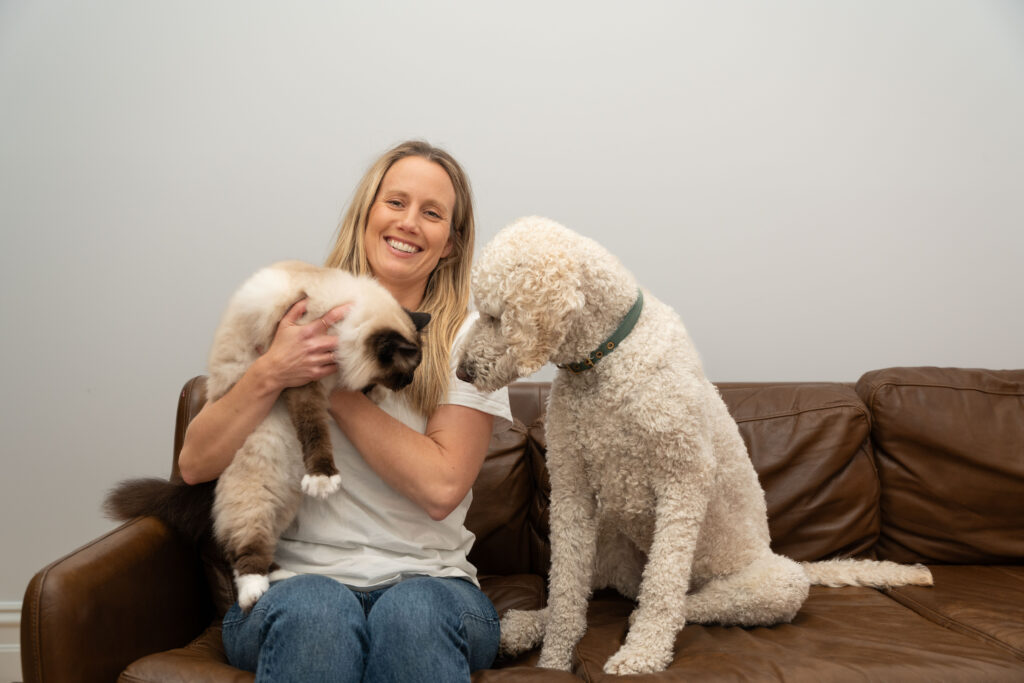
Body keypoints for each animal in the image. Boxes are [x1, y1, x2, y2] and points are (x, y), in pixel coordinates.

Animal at [100, 260, 428, 610]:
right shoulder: (302, 380)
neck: (343, 317)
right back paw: (253, 591)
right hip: (255, 501)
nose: (407, 384)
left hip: (281, 505)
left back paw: (281, 574)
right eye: (407, 371)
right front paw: (323, 479)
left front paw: (374, 394)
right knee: (241, 551)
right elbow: (315, 431)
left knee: (262, 544)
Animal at [460, 216, 933, 675]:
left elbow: (663, 585)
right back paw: (520, 627)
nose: (463, 371)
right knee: (601, 591)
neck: (608, 359)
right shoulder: (572, 488)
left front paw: (643, 653)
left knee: (692, 602)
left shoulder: (682, 480)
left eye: (494, 316)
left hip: (776, 583)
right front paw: (554, 658)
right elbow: (565, 590)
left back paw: (644, 617)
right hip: (610, 538)